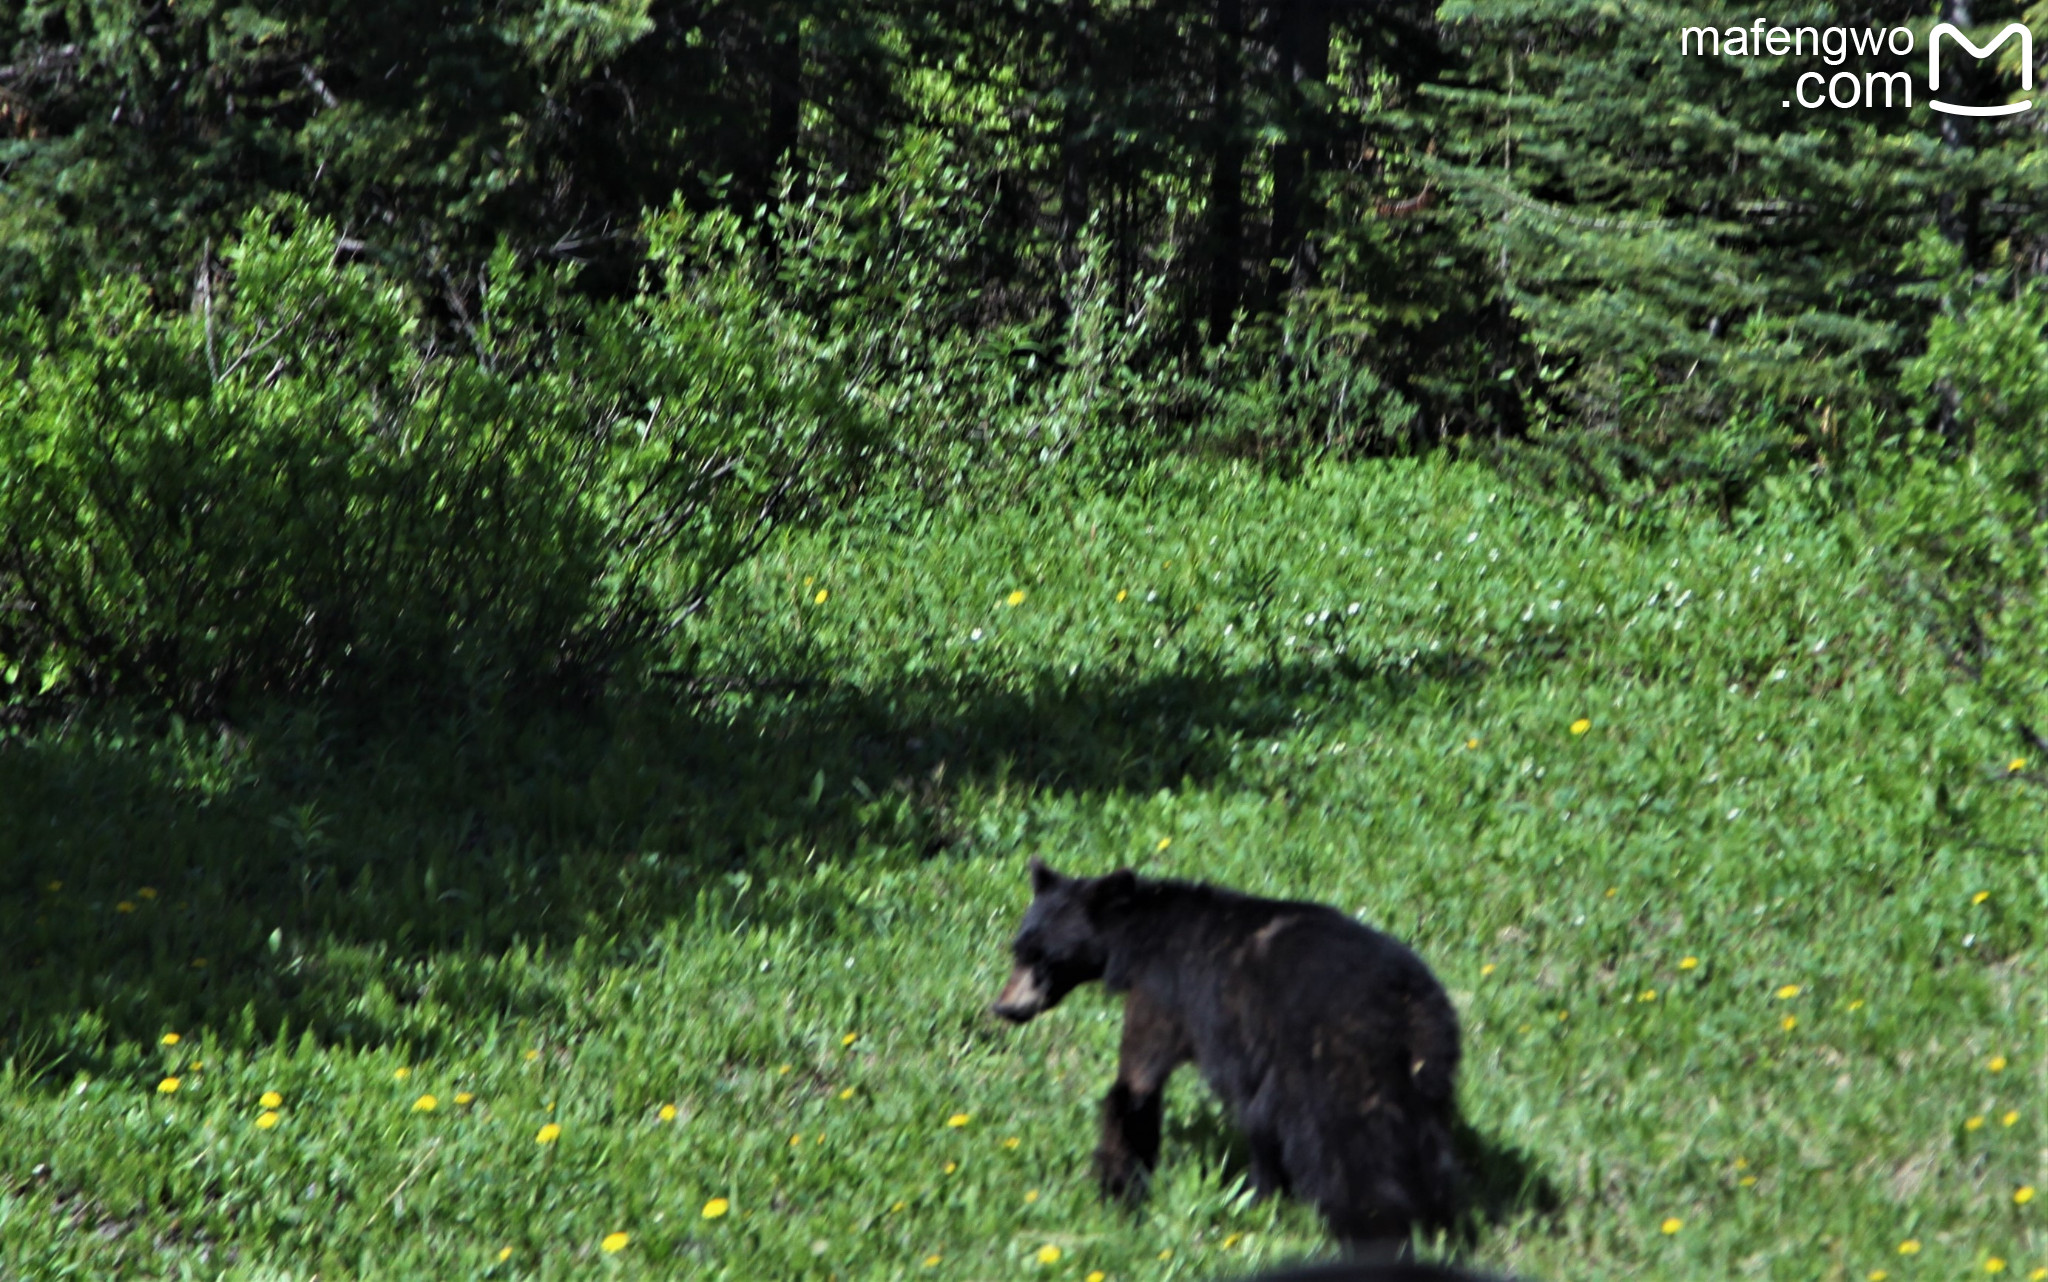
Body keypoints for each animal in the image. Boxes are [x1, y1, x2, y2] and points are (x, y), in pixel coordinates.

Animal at [987, 860, 1458, 1245]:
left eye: (1042, 958)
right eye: (1018, 949)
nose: (1004, 1006)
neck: (1141, 933)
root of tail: (1407, 1004)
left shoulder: (1163, 992)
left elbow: (1136, 1085)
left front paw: (1117, 1196)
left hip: (1337, 1064)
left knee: (1344, 1150)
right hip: (1426, 1075)